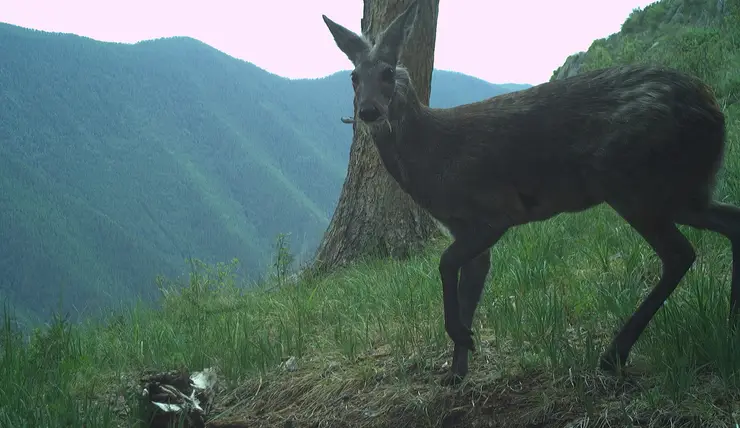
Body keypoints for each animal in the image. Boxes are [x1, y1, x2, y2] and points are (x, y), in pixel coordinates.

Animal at [320, 1, 736, 386]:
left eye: (388, 72)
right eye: (354, 76)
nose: (369, 112)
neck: (434, 159)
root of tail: (712, 106)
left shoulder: (494, 211)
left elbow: (445, 263)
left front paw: (463, 339)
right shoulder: (466, 229)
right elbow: (468, 290)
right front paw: (456, 372)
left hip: (635, 182)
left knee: (680, 253)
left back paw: (613, 355)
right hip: (681, 189)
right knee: (729, 222)